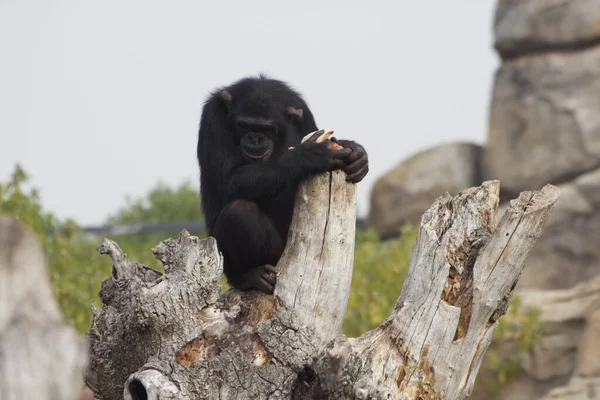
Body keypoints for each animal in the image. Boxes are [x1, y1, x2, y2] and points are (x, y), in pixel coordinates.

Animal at [197, 75, 368, 294]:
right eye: (244, 125)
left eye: (267, 128)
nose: (255, 138)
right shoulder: (212, 119)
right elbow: (227, 180)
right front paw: (309, 155)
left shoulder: (304, 113)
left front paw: (357, 153)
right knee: (239, 211)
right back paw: (249, 276)